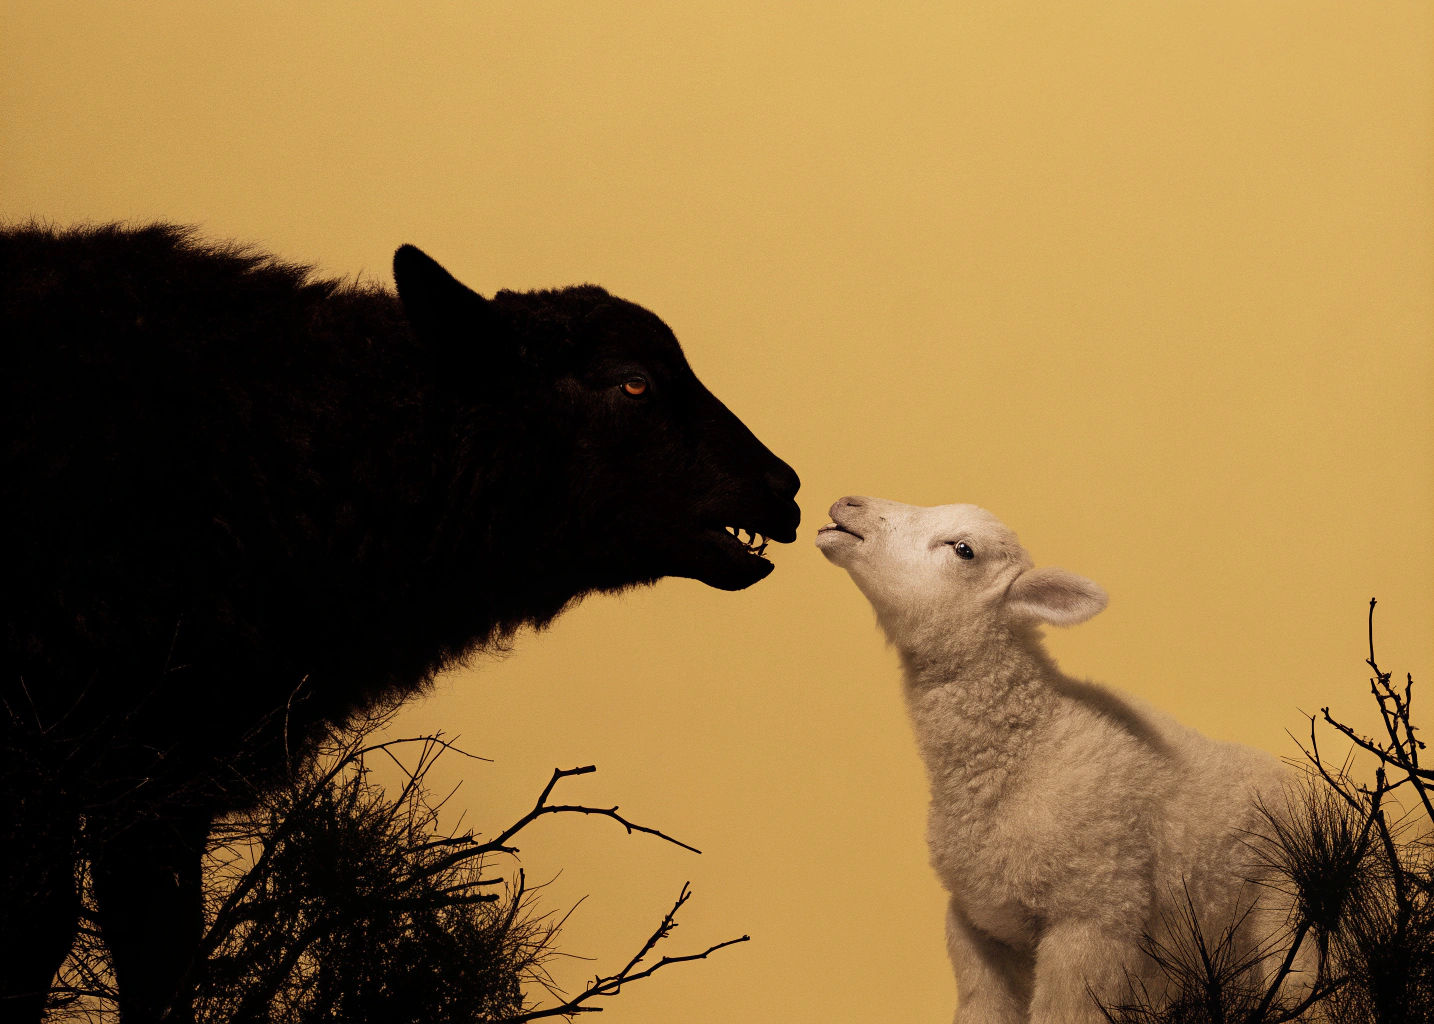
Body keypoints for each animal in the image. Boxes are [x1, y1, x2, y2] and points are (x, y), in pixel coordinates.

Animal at [816, 496, 1306, 1024]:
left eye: (964, 550)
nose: (847, 503)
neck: (1030, 747)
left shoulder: (1093, 915)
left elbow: (1064, 1011)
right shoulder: (975, 922)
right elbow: (982, 1007)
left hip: (1286, 916)